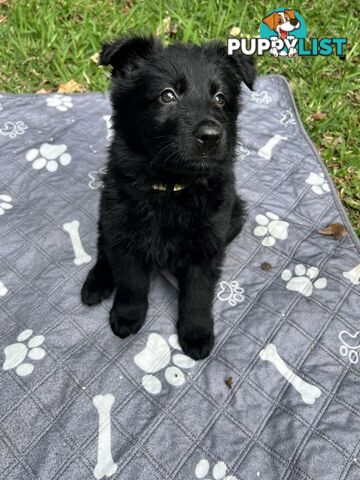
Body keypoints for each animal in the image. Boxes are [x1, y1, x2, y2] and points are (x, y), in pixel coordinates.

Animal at [82, 36, 256, 360]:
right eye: (167, 95)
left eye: (220, 98)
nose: (212, 135)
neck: (172, 186)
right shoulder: (124, 233)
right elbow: (131, 281)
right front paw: (127, 315)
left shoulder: (207, 246)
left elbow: (198, 293)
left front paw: (196, 333)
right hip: (108, 214)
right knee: (103, 247)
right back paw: (96, 283)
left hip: (235, 215)